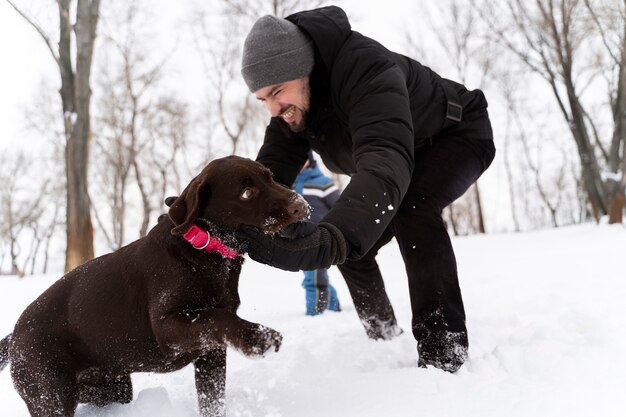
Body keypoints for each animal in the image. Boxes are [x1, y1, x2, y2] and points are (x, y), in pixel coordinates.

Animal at [0, 155, 308, 416]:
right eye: (247, 193)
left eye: (271, 177)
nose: (301, 205)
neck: (204, 248)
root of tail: (15, 334)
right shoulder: (168, 326)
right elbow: (217, 316)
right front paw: (257, 337)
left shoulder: (210, 353)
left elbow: (212, 399)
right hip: (51, 394)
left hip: (110, 388)